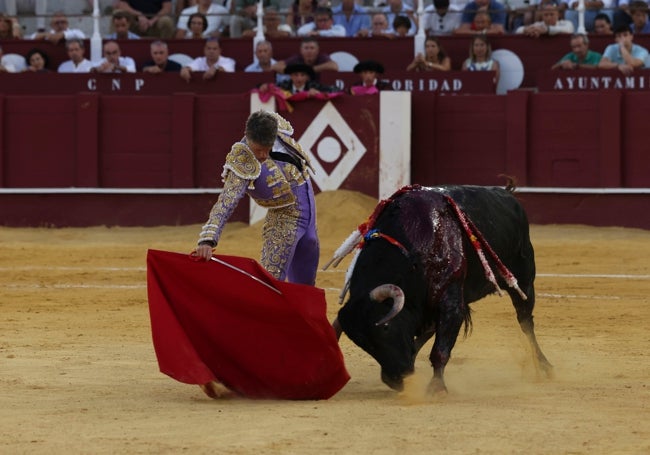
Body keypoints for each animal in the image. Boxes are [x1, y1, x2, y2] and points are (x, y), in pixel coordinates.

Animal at [326, 183, 548, 394]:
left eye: (386, 327)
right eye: (362, 343)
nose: (395, 379)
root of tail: (509, 195)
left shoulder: (451, 303)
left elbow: (440, 351)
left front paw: (437, 388)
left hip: (524, 281)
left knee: (526, 322)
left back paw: (544, 368)